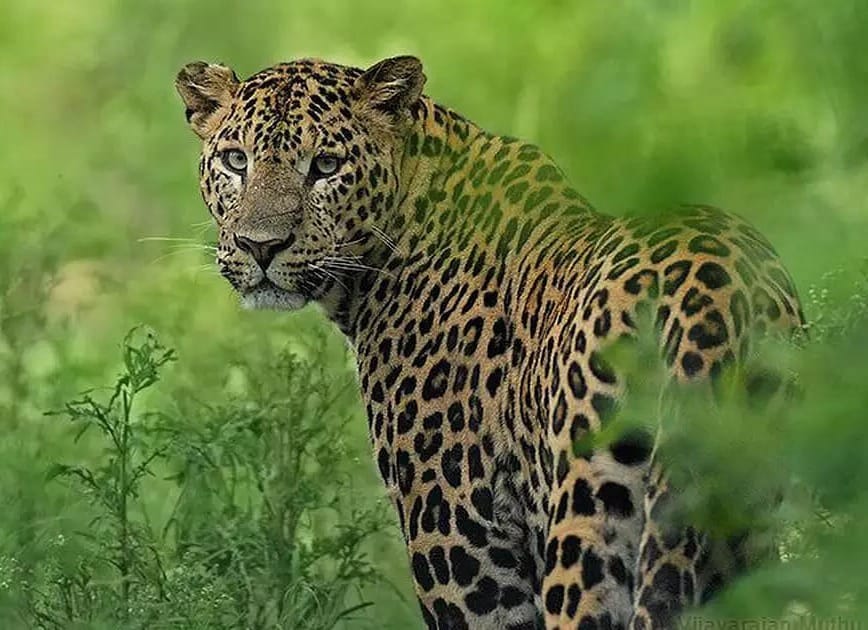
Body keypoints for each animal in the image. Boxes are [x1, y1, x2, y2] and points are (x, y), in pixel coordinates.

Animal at [175, 55, 805, 630]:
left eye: (325, 166)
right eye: (236, 160)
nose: (260, 246)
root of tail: (714, 290)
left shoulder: (459, 541)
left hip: (589, 522)